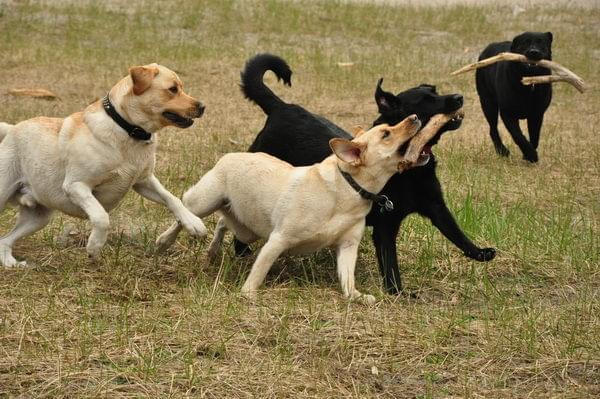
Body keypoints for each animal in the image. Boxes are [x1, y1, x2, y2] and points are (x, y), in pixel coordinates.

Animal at [0, 63, 207, 268]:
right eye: (172, 89)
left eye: (180, 87)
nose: (203, 107)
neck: (128, 131)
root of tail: (12, 129)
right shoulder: (77, 186)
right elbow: (101, 218)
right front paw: (94, 246)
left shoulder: (144, 181)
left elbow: (172, 199)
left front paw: (193, 223)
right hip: (4, 195)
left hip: (38, 217)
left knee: (4, 241)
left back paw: (10, 263)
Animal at [156, 112, 460, 304]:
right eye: (386, 133)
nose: (415, 117)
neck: (349, 187)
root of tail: (232, 154)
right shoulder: (278, 240)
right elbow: (260, 269)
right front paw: (248, 294)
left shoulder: (348, 245)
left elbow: (347, 277)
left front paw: (356, 296)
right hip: (205, 200)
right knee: (185, 213)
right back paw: (165, 240)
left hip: (247, 227)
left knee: (223, 223)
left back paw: (212, 251)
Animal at [237, 53, 494, 296]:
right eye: (425, 101)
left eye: (435, 91)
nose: (459, 97)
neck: (410, 173)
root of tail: (280, 107)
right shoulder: (385, 226)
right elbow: (390, 263)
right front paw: (397, 292)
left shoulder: (435, 206)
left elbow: (456, 233)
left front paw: (480, 252)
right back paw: (241, 252)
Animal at [476, 31, 556, 162]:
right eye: (525, 43)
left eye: (541, 43)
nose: (534, 52)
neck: (528, 84)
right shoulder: (508, 113)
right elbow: (518, 136)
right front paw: (531, 155)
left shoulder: (537, 114)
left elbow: (534, 136)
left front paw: (528, 155)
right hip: (487, 103)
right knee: (493, 129)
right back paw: (502, 151)